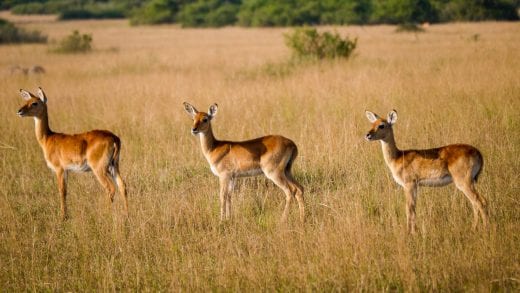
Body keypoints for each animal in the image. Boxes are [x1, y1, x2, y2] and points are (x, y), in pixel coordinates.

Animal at [17, 86, 128, 219]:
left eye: (35, 103)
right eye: (26, 101)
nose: (19, 111)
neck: (47, 138)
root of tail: (114, 138)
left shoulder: (59, 169)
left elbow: (62, 191)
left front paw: (63, 216)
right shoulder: (67, 170)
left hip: (99, 169)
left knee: (110, 188)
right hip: (114, 166)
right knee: (122, 186)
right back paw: (128, 214)